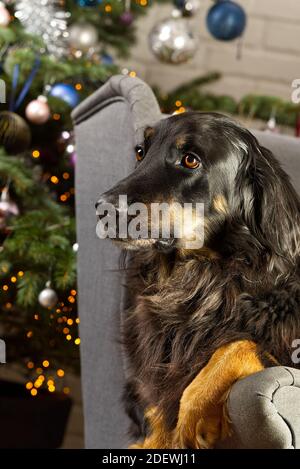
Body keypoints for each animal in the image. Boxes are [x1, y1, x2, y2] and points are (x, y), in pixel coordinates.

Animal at [95, 111, 300, 448]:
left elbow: (235, 346)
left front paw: (193, 418)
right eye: (140, 152)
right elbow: (155, 414)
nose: (102, 208)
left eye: (190, 160)